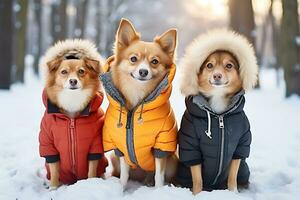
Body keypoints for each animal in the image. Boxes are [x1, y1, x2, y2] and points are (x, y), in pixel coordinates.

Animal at [39, 39, 108, 189]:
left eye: (81, 71)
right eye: (64, 72)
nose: (73, 81)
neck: (72, 100)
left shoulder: (95, 143)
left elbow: (92, 168)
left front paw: (91, 183)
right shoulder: (48, 142)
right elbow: (54, 169)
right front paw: (53, 188)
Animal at [101, 18, 178, 188]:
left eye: (154, 61)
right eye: (133, 59)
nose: (143, 71)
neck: (137, 93)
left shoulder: (161, 147)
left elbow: (159, 175)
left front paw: (159, 190)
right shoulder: (120, 148)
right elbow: (124, 174)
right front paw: (121, 189)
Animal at [177, 29, 258, 194]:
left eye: (229, 65)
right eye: (209, 65)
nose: (217, 75)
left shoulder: (240, 146)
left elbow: (232, 175)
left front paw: (233, 193)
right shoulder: (191, 147)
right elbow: (197, 178)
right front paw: (197, 194)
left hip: (244, 169)